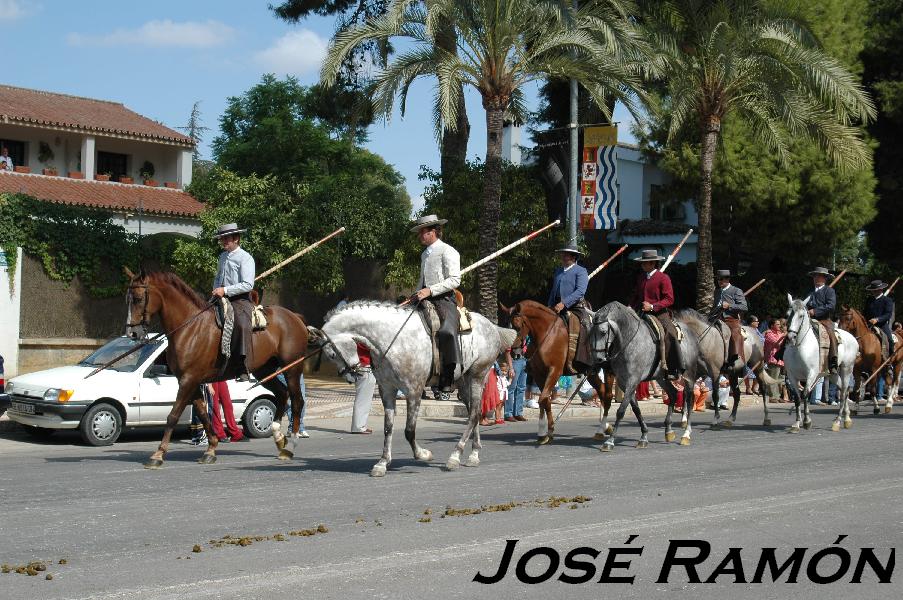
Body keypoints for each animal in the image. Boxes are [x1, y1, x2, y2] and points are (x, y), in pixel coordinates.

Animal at [124, 268, 310, 468]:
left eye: (138, 298)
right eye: (128, 299)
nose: (132, 333)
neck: (190, 328)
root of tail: (295, 317)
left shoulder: (188, 380)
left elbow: (173, 415)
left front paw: (158, 454)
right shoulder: (191, 381)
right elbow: (204, 414)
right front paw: (211, 449)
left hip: (292, 369)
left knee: (297, 401)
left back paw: (292, 443)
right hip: (264, 370)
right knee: (282, 394)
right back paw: (279, 438)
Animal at [308, 302, 512, 476]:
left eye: (332, 354)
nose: (352, 376)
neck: (392, 339)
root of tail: (492, 326)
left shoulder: (414, 391)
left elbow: (409, 430)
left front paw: (423, 454)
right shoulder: (387, 390)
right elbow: (388, 427)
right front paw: (383, 462)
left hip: (478, 376)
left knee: (474, 414)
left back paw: (455, 456)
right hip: (463, 382)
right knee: (474, 413)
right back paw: (473, 454)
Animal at [502, 300, 616, 446]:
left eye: (517, 326)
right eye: (506, 325)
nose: (513, 353)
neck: (546, 334)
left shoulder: (554, 371)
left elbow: (543, 399)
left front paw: (546, 431)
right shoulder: (539, 374)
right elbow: (545, 400)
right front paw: (545, 432)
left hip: (608, 369)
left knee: (608, 395)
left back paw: (604, 428)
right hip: (591, 373)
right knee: (602, 392)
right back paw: (602, 428)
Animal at [588, 302, 704, 448]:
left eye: (603, 332)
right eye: (590, 333)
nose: (598, 359)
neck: (629, 341)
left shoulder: (633, 380)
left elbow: (621, 411)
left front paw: (610, 441)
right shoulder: (623, 382)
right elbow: (636, 409)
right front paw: (643, 436)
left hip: (689, 376)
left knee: (690, 399)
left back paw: (686, 434)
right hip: (661, 378)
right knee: (672, 393)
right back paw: (668, 431)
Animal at [788, 296, 860, 432]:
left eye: (801, 316)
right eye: (788, 314)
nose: (791, 337)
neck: (799, 347)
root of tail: (852, 337)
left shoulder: (811, 374)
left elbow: (805, 394)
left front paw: (807, 421)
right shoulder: (792, 377)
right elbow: (797, 398)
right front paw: (796, 424)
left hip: (847, 368)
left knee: (844, 392)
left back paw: (838, 421)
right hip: (832, 374)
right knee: (843, 389)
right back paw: (847, 419)